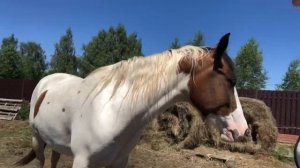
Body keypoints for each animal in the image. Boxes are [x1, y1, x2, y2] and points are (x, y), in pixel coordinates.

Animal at [14, 33, 248, 167]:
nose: (242, 130)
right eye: (231, 80)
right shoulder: (82, 160)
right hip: (37, 139)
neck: (112, 111)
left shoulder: (119, 161)